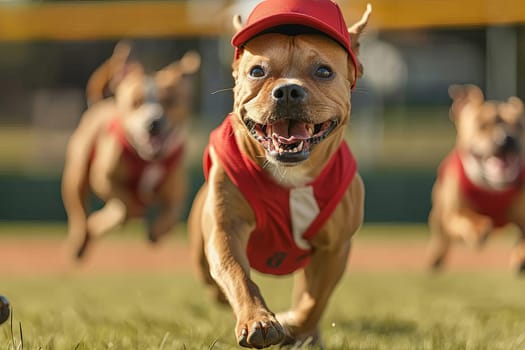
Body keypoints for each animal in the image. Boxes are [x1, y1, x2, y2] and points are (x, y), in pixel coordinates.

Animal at [61, 42, 200, 258]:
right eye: (136, 103)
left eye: (171, 101)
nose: (153, 122)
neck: (148, 159)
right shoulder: (104, 179)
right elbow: (127, 202)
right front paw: (115, 216)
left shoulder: (175, 194)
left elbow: (170, 216)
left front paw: (156, 232)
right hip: (76, 175)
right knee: (80, 212)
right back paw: (83, 239)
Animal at [187, 0, 368, 348]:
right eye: (257, 71)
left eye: (324, 71)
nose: (287, 91)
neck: (290, 174)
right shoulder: (225, 228)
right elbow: (237, 275)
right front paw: (258, 320)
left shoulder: (334, 248)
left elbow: (313, 301)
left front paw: (295, 324)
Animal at [426, 85, 524, 274]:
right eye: (482, 125)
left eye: (519, 125)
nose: (506, 138)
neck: (492, 187)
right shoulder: (454, 215)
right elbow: (466, 217)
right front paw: (478, 227)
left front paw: (520, 256)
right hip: (439, 211)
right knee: (442, 235)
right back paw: (436, 258)